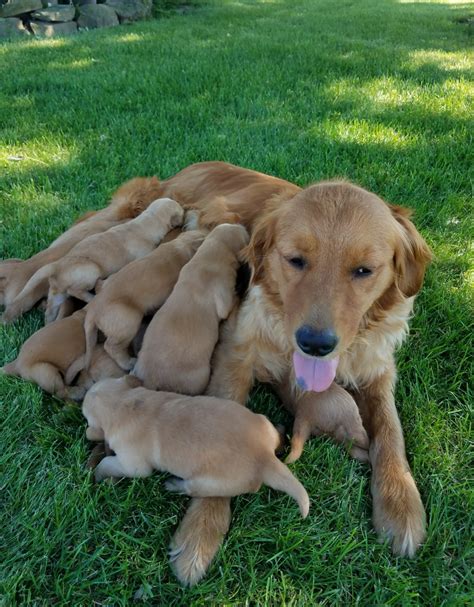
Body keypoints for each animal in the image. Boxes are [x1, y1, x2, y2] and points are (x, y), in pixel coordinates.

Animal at [12, 200, 183, 324]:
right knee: (76, 291)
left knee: (50, 310)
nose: (185, 211)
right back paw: (91, 297)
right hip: (91, 271)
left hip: (57, 294)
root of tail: (57, 266)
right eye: (181, 211)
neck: (147, 221)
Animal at [83, 378, 310, 520]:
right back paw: (280, 432)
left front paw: (98, 475)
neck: (123, 403)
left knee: (191, 488)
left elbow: (108, 463)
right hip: (261, 421)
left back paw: (174, 485)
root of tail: (264, 457)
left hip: (206, 483)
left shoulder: (133, 464)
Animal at [133, 223, 250, 394]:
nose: (243, 225)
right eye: (244, 233)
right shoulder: (223, 294)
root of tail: (151, 380)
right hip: (200, 378)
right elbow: (228, 305)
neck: (211, 254)